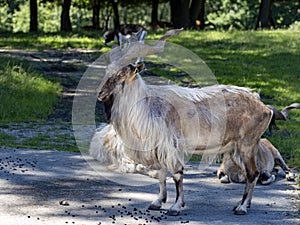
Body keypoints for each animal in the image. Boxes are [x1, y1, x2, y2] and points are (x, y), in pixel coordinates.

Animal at [97, 62, 274, 215]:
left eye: (121, 75)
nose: (100, 94)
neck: (146, 107)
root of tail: (265, 108)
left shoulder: (171, 147)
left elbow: (176, 174)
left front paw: (175, 206)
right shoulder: (159, 150)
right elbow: (160, 174)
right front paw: (157, 202)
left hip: (246, 145)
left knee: (252, 173)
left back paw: (242, 207)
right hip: (236, 149)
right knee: (251, 173)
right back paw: (245, 204)